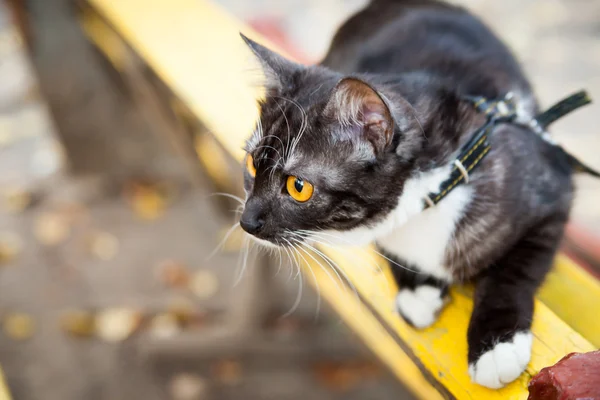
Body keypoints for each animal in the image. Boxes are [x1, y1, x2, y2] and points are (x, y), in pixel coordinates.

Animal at [239, 0, 580, 390]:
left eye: (298, 187)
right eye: (251, 164)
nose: (246, 221)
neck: (431, 188)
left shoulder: (551, 192)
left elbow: (513, 271)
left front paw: (496, 346)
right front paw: (418, 290)